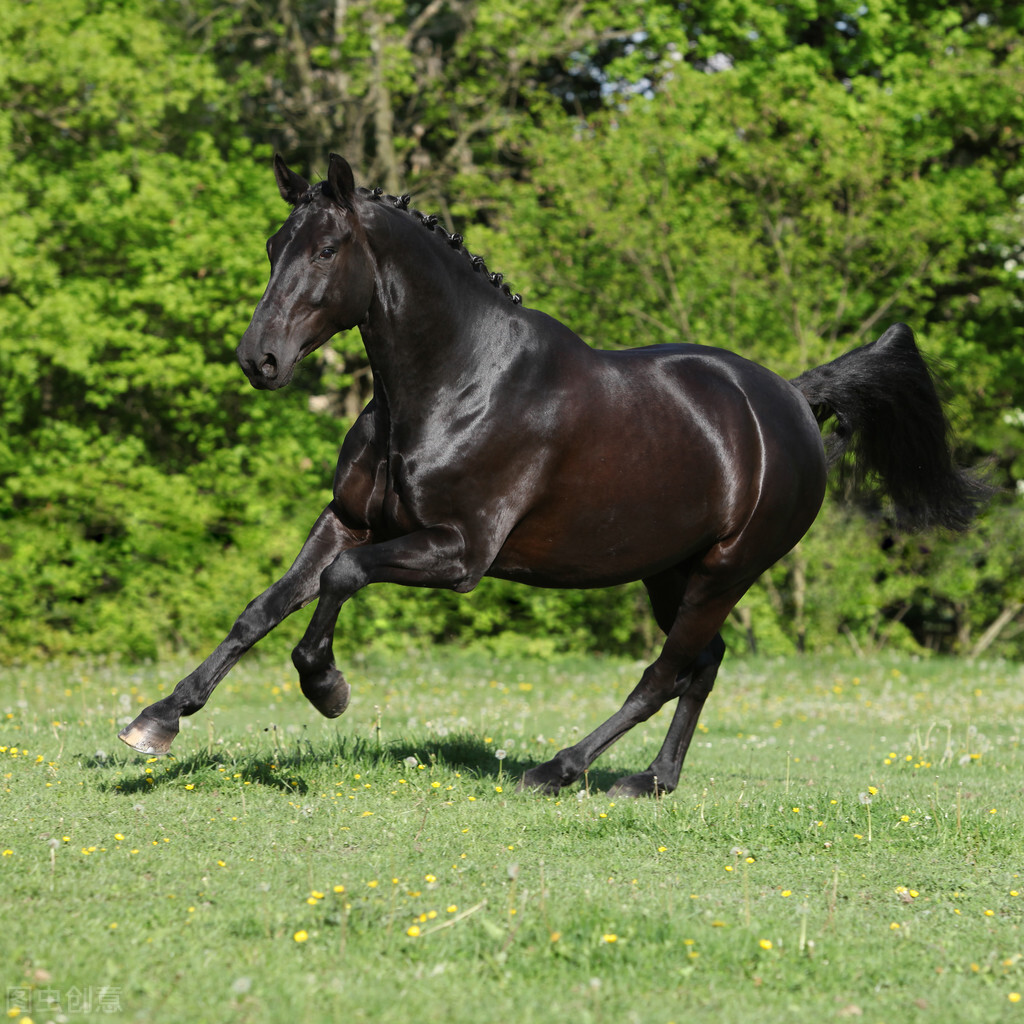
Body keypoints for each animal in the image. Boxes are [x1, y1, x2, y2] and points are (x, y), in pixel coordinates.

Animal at [118, 153, 989, 796]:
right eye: (275, 244)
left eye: (328, 249)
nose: (259, 359)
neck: (457, 383)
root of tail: (794, 403)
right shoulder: (350, 518)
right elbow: (262, 607)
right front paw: (158, 718)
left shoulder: (458, 553)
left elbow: (341, 580)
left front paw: (326, 688)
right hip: (670, 570)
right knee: (701, 666)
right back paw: (651, 781)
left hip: (727, 570)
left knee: (664, 671)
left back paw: (560, 768)